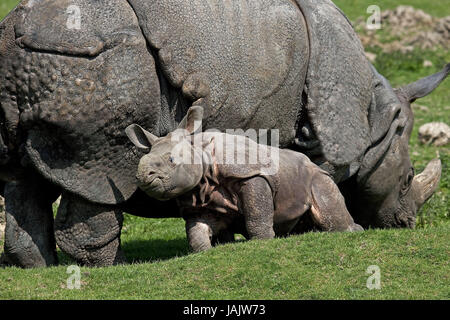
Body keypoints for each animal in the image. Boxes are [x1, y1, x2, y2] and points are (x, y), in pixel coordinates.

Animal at [125, 106, 362, 251]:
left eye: (171, 160)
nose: (142, 177)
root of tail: (313, 163)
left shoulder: (249, 173)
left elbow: (256, 209)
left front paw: (263, 241)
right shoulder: (196, 197)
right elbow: (196, 230)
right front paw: (204, 251)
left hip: (316, 176)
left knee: (327, 207)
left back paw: (354, 231)